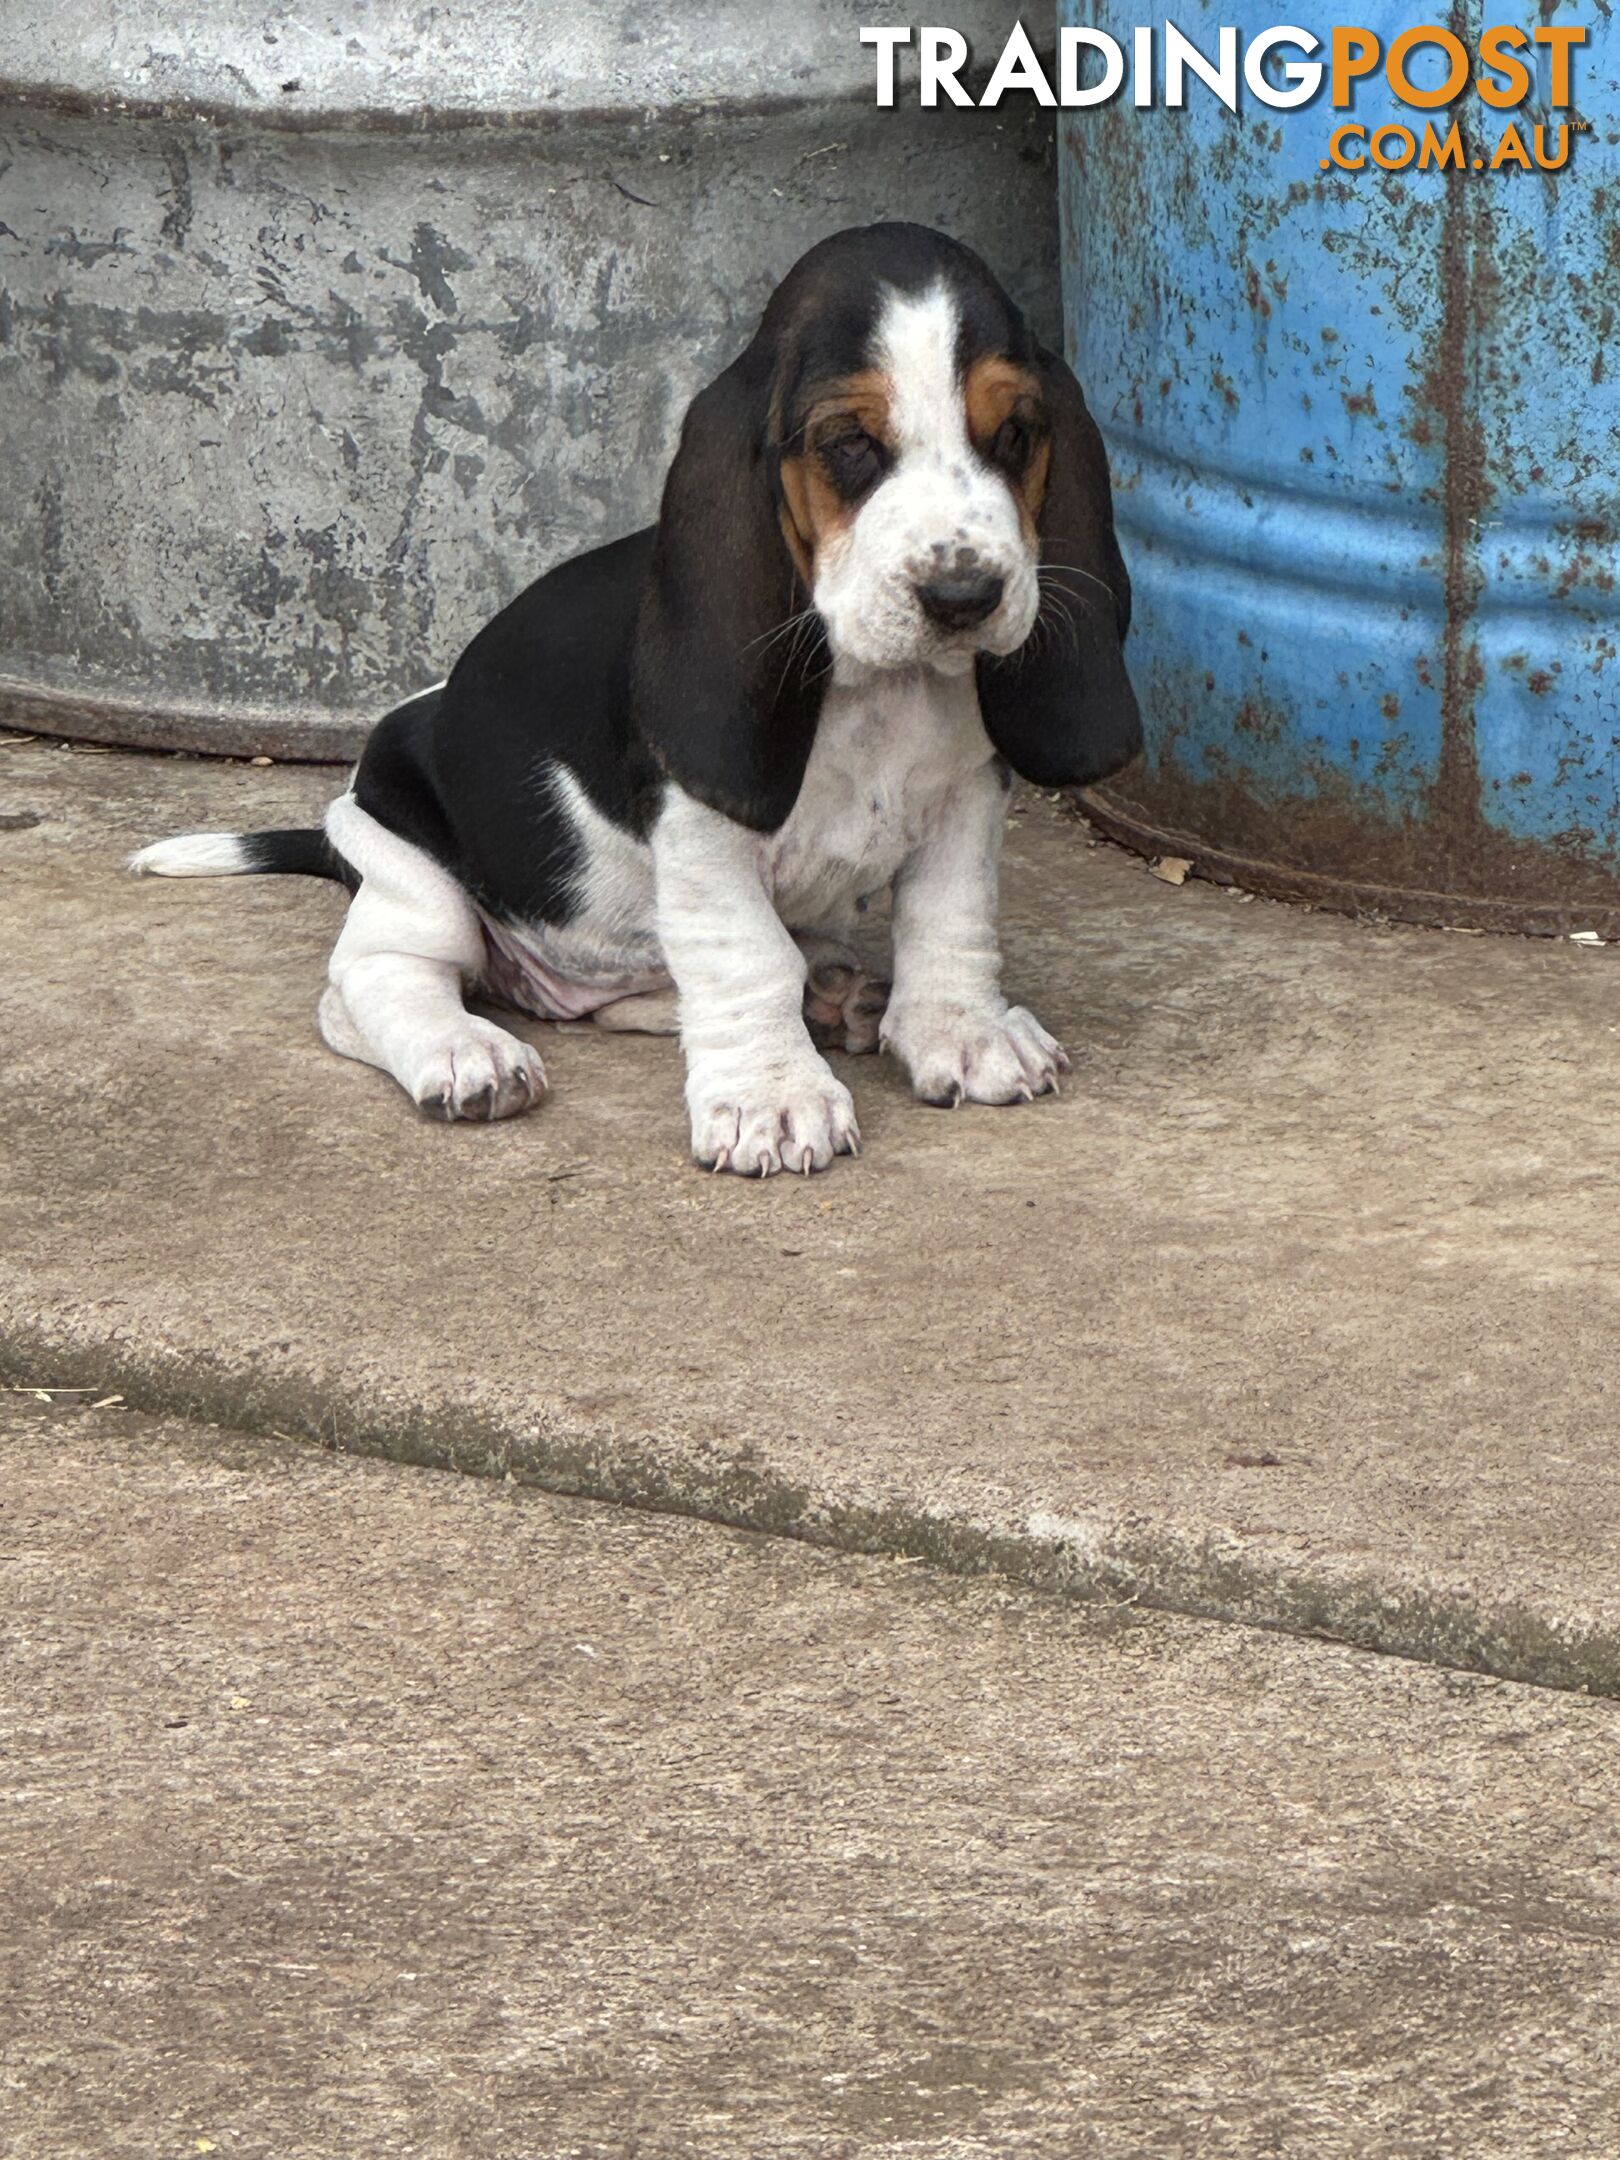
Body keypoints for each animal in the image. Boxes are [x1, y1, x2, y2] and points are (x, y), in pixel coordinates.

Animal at [133, 219, 1131, 1183]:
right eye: (851, 444)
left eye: (1015, 436)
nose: (965, 596)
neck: (875, 688)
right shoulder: (701, 837)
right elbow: (745, 956)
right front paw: (771, 1097)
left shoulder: (965, 797)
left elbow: (949, 919)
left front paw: (962, 1032)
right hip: (405, 867)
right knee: (372, 985)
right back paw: (467, 1053)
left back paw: (837, 994)